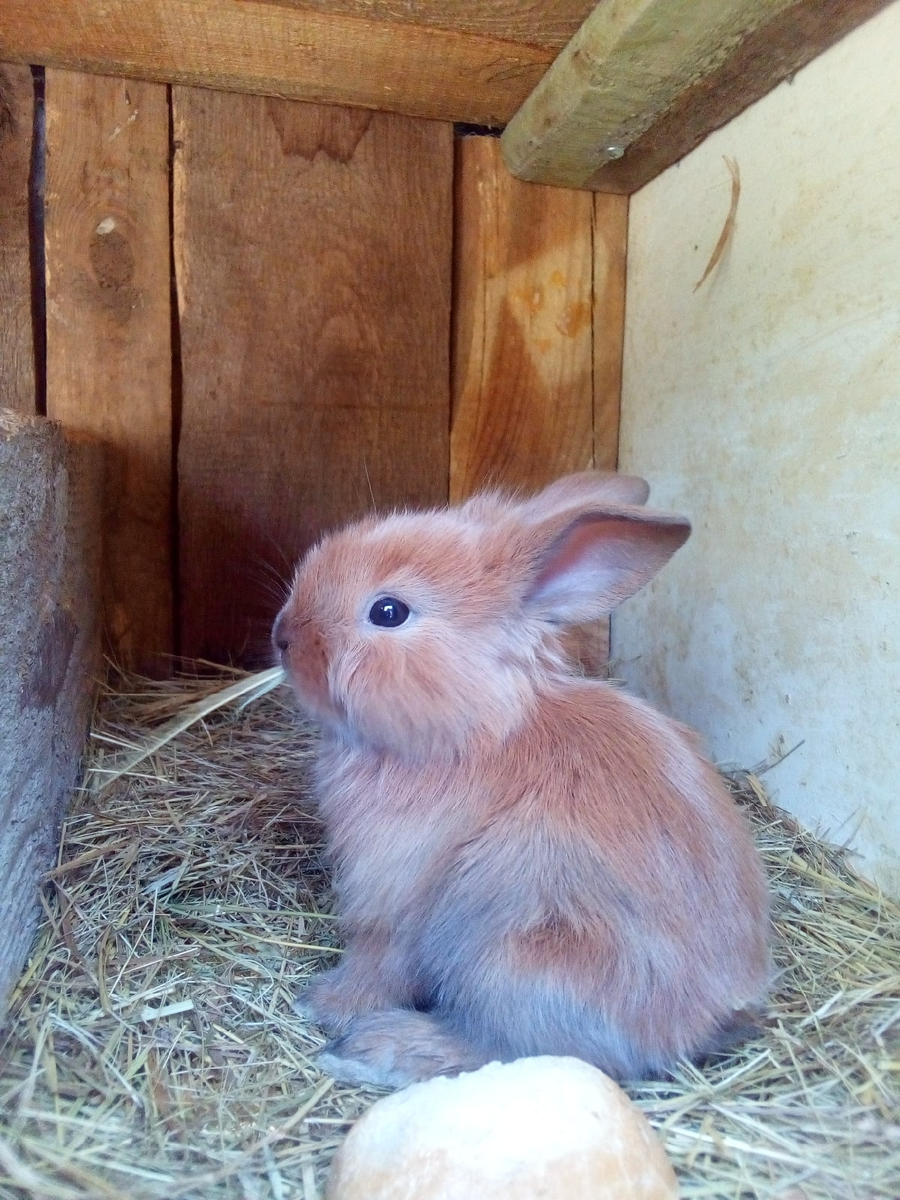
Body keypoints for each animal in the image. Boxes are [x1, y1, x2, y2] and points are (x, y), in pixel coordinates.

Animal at [271, 472, 772, 1094]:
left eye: (388, 611)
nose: (282, 635)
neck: (475, 729)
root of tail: (699, 1021)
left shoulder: (392, 900)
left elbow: (377, 964)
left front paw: (324, 1004)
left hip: (512, 962)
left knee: (508, 1049)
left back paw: (381, 1048)